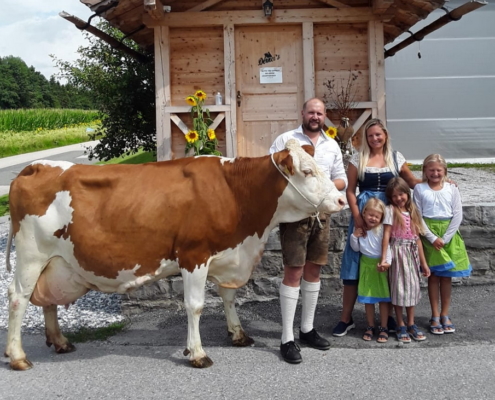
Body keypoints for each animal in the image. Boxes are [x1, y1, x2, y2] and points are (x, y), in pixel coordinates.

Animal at [3, 139, 344, 370]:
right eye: (307, 171)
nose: (341, 199)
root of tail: (36, 165)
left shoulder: (226, 254)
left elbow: (229, 297)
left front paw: (238, 334)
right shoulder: (194, 255)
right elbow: (195, 305)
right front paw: (197, 353)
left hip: (54, 263)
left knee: (47, 299)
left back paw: (60, 342)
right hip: (31, 255)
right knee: (19, 297)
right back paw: (18, 356)